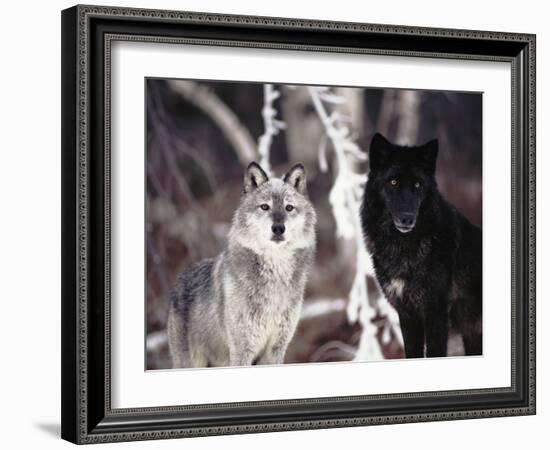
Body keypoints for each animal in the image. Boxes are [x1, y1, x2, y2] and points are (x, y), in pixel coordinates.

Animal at [167, 163, 320, 368]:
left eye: (289, 208)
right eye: (265, 207)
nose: (278, 228)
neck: (275, 276)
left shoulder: (275, 350)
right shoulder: (242, 350)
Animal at [362, 134, 484, 358]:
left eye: (418, 185)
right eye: (393, 181)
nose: (407, 219)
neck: (402, 247)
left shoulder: (435, 313)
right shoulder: (407, 314)